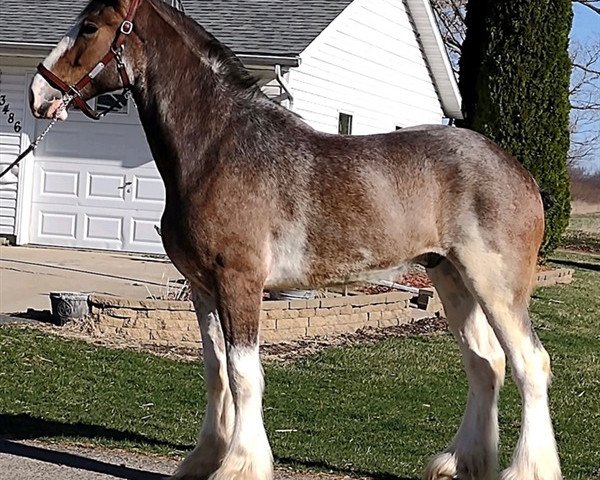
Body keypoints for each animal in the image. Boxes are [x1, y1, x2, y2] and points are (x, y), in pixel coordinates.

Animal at [28, 0, 564, 480]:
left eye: (90, 27)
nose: (37, 92)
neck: (219, 148)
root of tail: (521, 174)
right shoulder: (202, 289)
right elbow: (216, 372)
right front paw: (204, 460)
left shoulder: (240, 282)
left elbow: (244, 375)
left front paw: (239, 467)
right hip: (451, 277)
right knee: (486, 364)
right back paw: (459, 463)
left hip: (494, 285)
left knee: (529, 363)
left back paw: (527, 469)